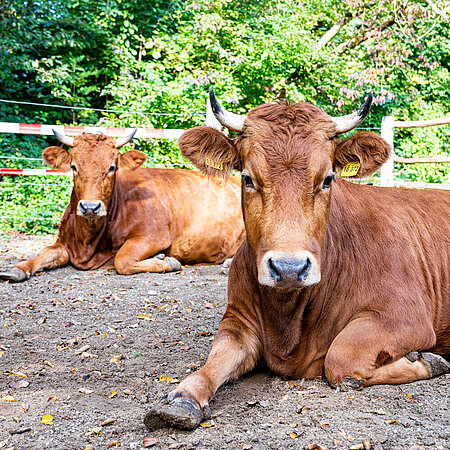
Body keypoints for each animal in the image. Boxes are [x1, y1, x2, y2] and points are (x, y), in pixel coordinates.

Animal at [0, 128, 244, 282]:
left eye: (112, 167)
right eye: (73, 166)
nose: (90, 207)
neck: (87, 242)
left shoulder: (153, 236)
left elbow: (122, 261)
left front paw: (168, 261)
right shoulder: (64, 244)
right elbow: (42, 254)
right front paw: (17, 269)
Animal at [143, 88, 450, 428]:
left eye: (328, 179)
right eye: (247, 178)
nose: (288, 268)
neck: (288, 319)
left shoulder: (406, 317)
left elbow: (340, 359)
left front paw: (427, 360)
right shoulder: (238, 319)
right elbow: (216, 358)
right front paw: (184, 395)